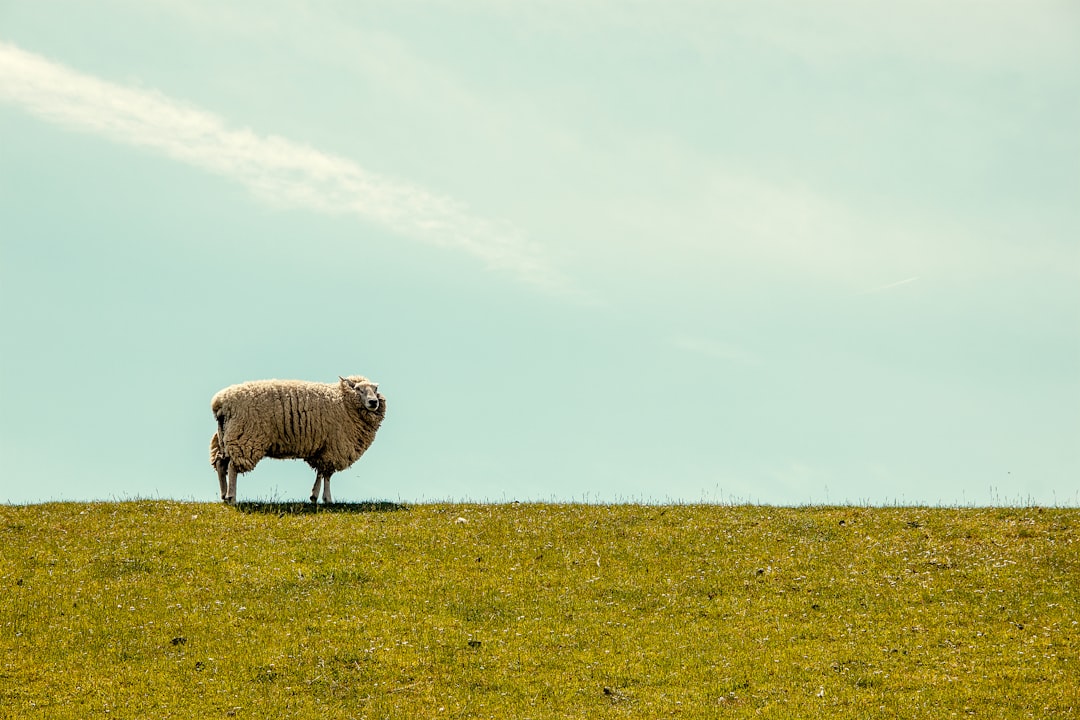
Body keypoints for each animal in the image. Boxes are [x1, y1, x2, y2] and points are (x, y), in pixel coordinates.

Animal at [209, 375, 387, 504]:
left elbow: (321, 472)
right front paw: (328, 499)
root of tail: (220, 403)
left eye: (375, 389)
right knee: (232, 466)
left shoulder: (321, 448)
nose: (373, 402)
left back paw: (224, 495)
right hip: (244, 437)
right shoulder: (333, 448)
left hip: (225, 437)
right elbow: (327, 475)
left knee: (220, 463)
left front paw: (314, 496)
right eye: (358, 389)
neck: (343, 401)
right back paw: (232, 497)